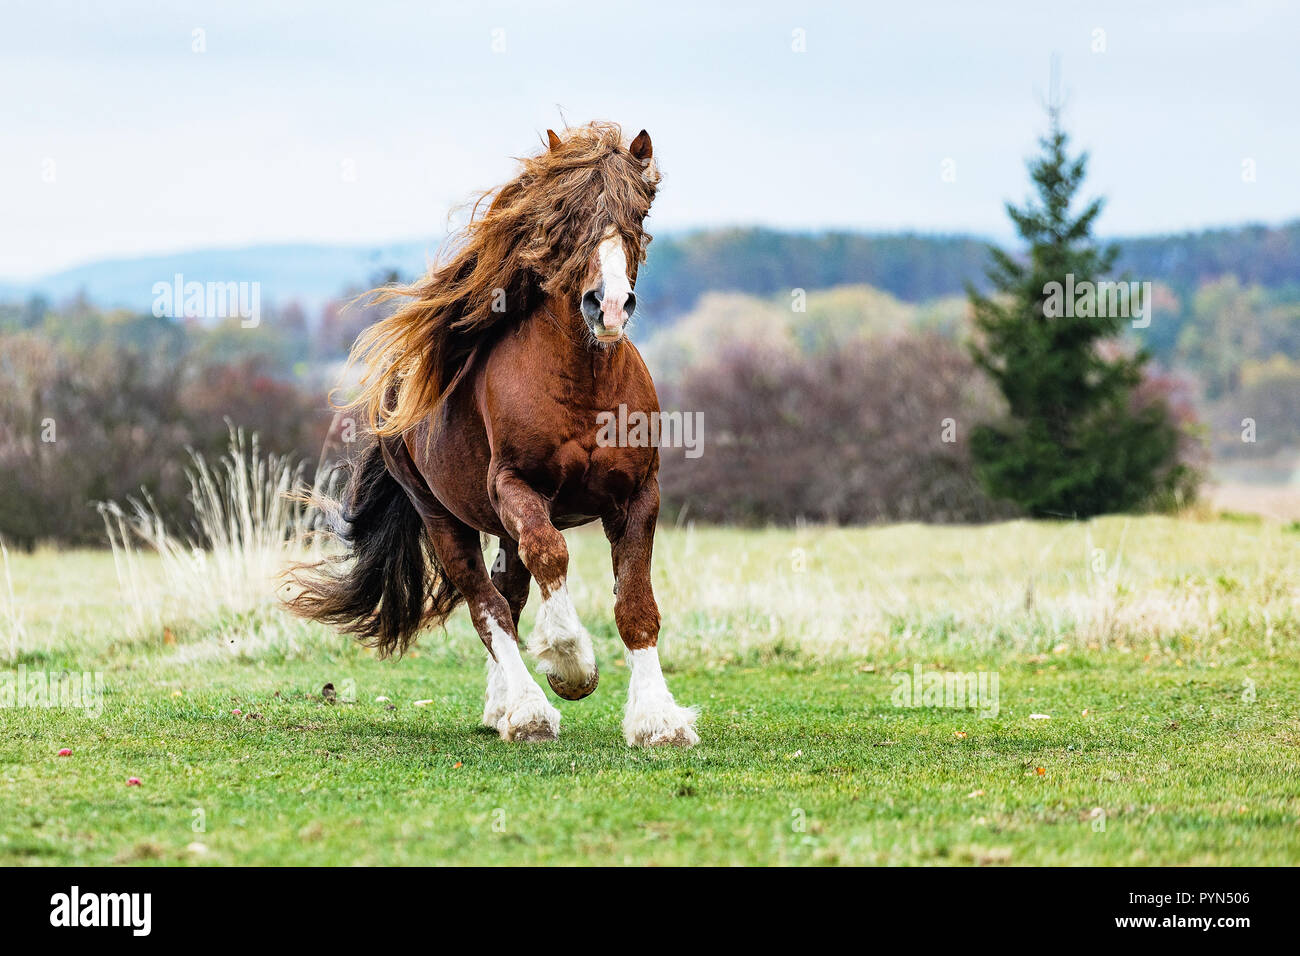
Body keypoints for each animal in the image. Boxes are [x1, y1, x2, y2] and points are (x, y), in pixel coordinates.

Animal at [286, 122, 698, 747]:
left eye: (638, 212)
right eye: (565, 216)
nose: (607, 307)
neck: (585, 383)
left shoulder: (637, 496)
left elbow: (635, 604)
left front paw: (658, 719)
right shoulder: (516, 487)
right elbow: (551, 556)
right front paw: (571, 666)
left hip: (501, 525)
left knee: (509, 594)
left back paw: (502, 705)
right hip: (444, 518)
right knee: (488, 608)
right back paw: (527, 712)